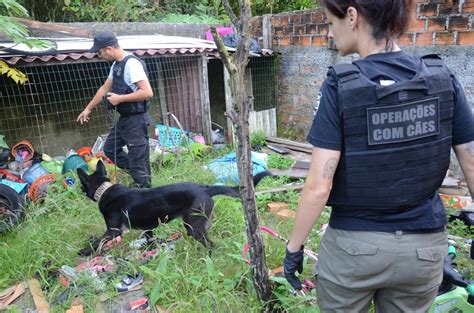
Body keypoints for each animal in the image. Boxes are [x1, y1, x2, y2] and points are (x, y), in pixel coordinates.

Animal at [77, 160, 270, 255]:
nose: (79, 190)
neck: (104, 190)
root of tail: (205, 188)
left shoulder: (113, 230)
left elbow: (97, 242)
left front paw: (85, 251)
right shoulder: (148, 228)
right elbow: (149, 239)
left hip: (193, 227)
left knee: (210, 244)